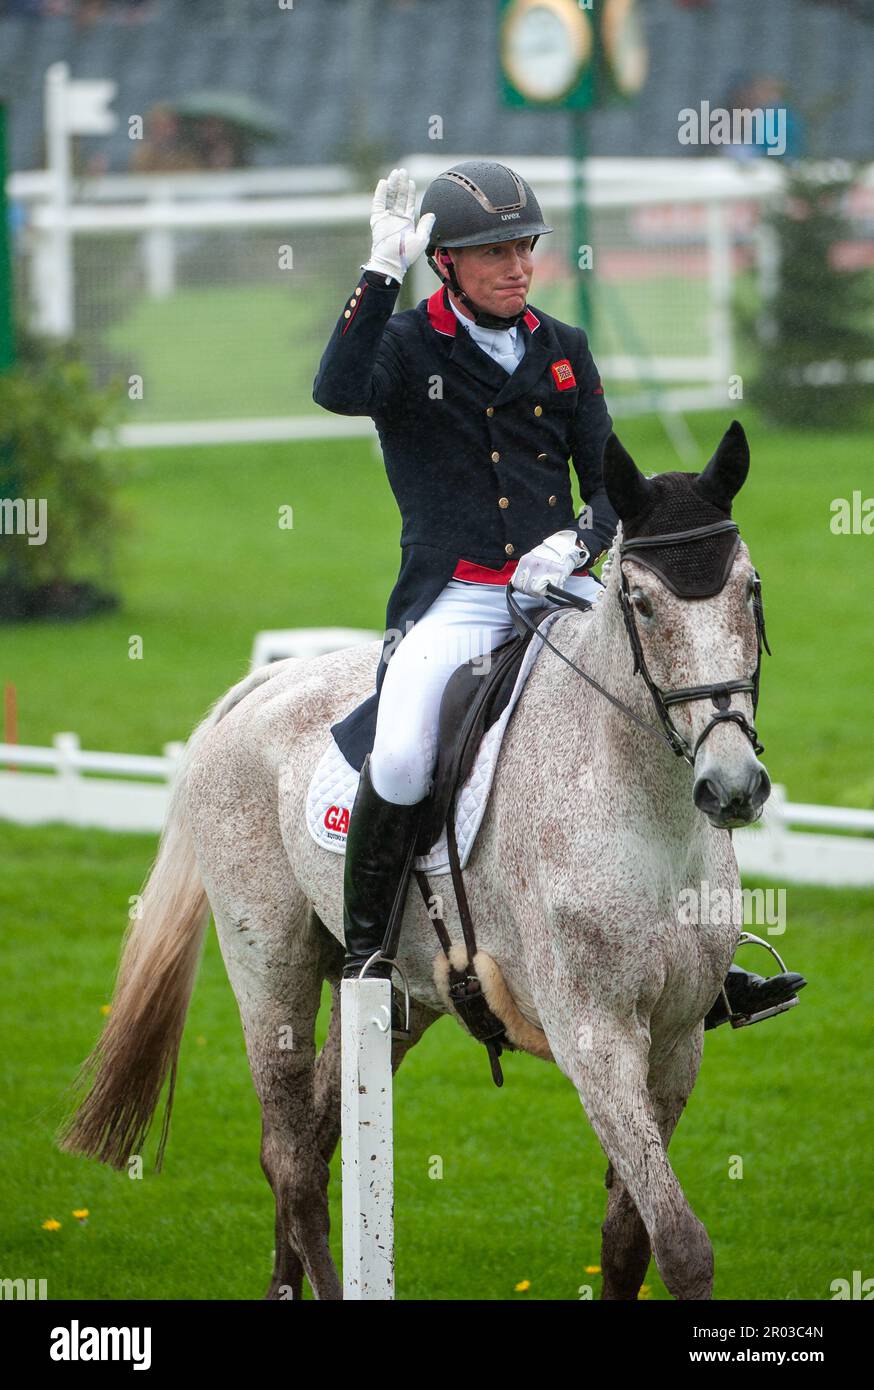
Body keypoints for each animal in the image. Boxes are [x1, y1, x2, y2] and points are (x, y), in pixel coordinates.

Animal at [64, 422, 778, 1301]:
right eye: (642, 603)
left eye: (749, 591)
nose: (732, 787)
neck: (650, 817)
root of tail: (267, 682)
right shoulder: (597, 1037)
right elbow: (681, 1245)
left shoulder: (678, 1040)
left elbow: (629, 1238)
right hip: (270, 964)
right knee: (292, 1159)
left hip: (391, 997)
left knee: (315, 1139)